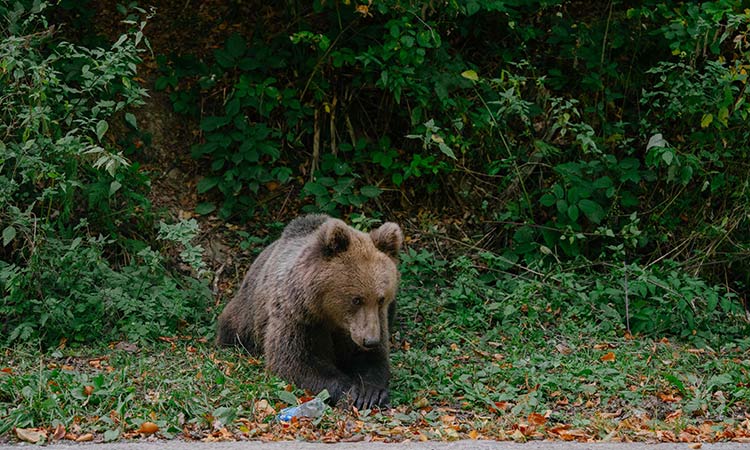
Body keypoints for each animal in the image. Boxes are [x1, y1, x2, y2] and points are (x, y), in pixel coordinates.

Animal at [217, 214, 406, 408]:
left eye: (381, 299)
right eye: (356, 299)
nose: (370, 341)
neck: (330, 315)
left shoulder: (373, 321)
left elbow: (374, 360)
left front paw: (370, 393)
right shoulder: (299, 317)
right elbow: (297, 361)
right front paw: (351, 392)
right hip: (246, 314)